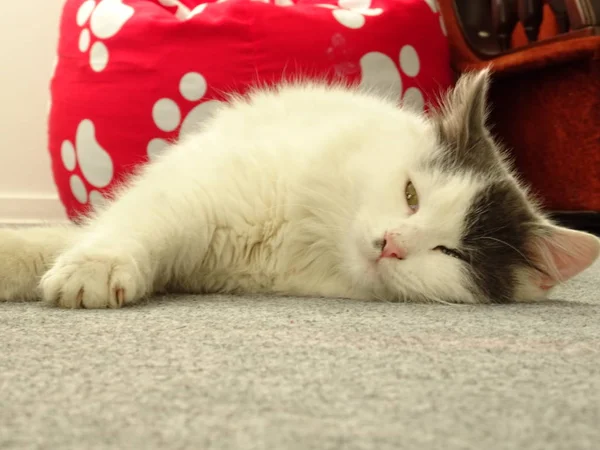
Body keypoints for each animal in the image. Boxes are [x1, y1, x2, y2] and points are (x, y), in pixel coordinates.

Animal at [0, 70, 596, 308]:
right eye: (410, 195)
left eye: (453, 253)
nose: (391, 244)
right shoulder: (197, 194)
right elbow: (132, 227)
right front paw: (95, 269)